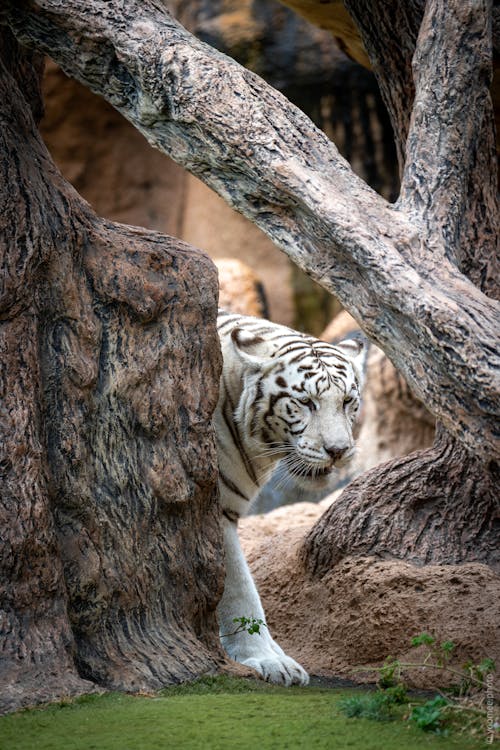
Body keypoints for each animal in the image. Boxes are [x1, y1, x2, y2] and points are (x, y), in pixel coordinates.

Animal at [215, 310, 364, 688]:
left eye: (347, 401)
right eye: (306, 402)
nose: (338, 451)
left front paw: (277, 655)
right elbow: (240, 588)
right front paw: (267, 659)